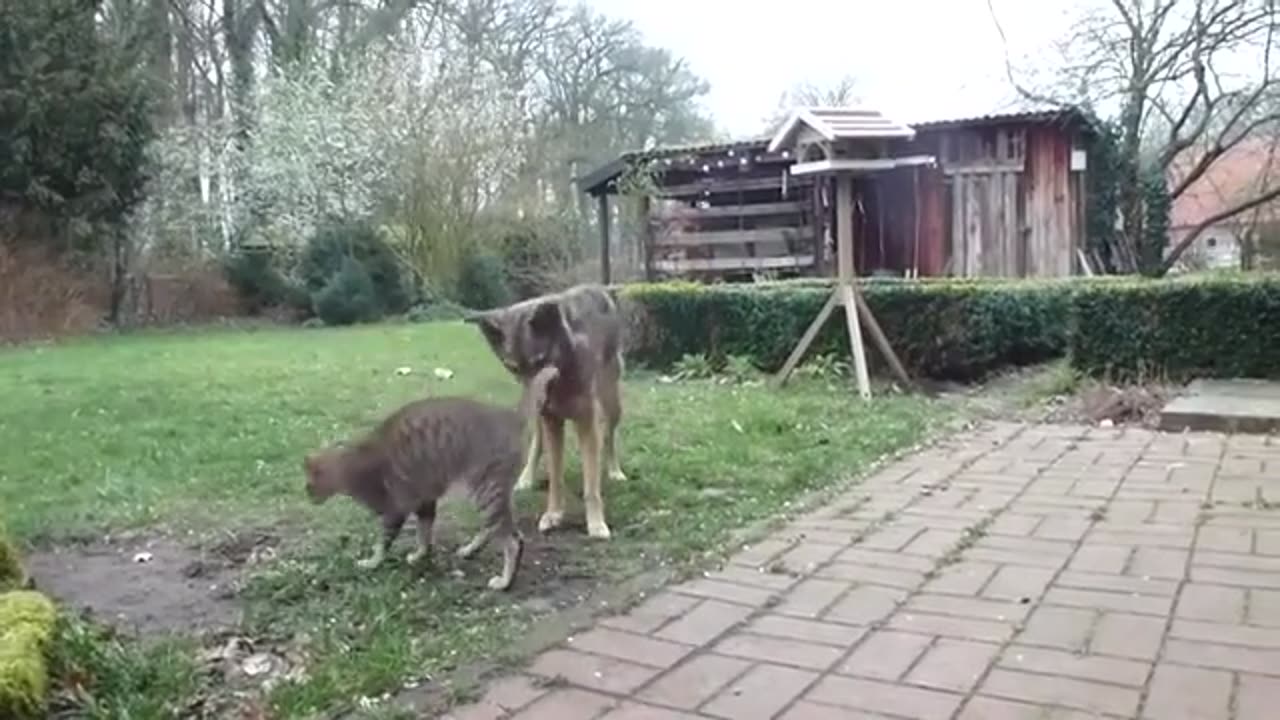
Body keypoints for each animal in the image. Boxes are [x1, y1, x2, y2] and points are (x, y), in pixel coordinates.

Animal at [471, 283, 629, 535]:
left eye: (540, 361)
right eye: (513, 367)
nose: (535, 399)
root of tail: (600, 287)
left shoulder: (587, 422)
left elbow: (591, 484)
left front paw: (596, 524)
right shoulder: (551, 421)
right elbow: (555, 477)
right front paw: (553, 514)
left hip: (612, 402)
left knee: (609, 437)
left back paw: (614, 471)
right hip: (543, 420)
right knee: (537, 442)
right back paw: (526, 478)